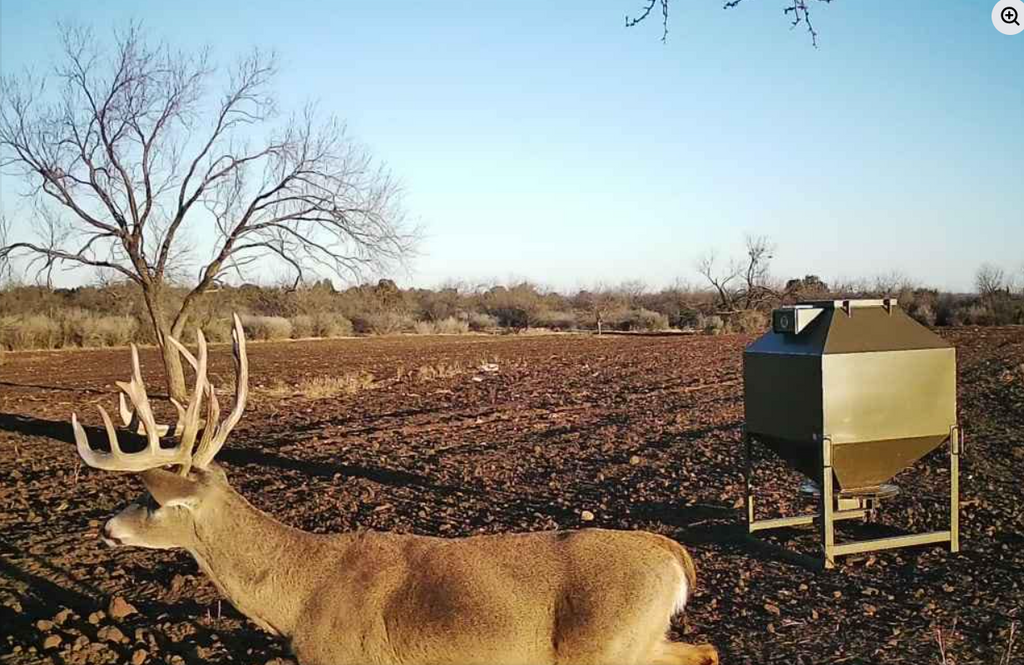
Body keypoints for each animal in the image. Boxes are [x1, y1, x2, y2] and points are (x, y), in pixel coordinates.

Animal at [71, 314, 720, 665]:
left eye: (152, 500)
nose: (105, 528)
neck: (297, 597)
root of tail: (672, 553)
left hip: (605, 646)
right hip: (640, 640)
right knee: (707, 650)